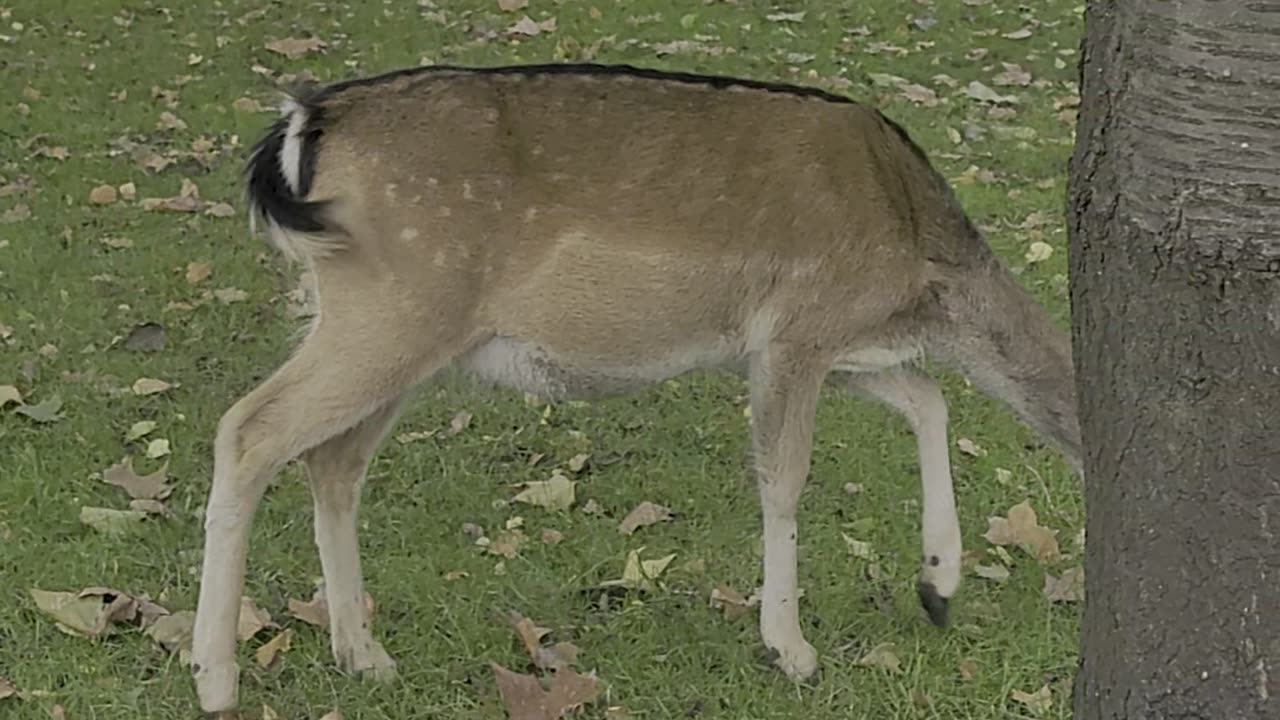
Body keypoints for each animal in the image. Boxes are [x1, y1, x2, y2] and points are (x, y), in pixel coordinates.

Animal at [189, 63, 1080, 712]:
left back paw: (362, 655)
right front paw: (792, 650)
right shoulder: (795, 330)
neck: (920, 269)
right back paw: (216, 680)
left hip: (403, 331)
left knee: (333, 460)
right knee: (248, 428)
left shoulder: (845, 348)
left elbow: (929, 399)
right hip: (393, 306)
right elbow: (784, 478)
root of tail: (305, 123)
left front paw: (938, 586)